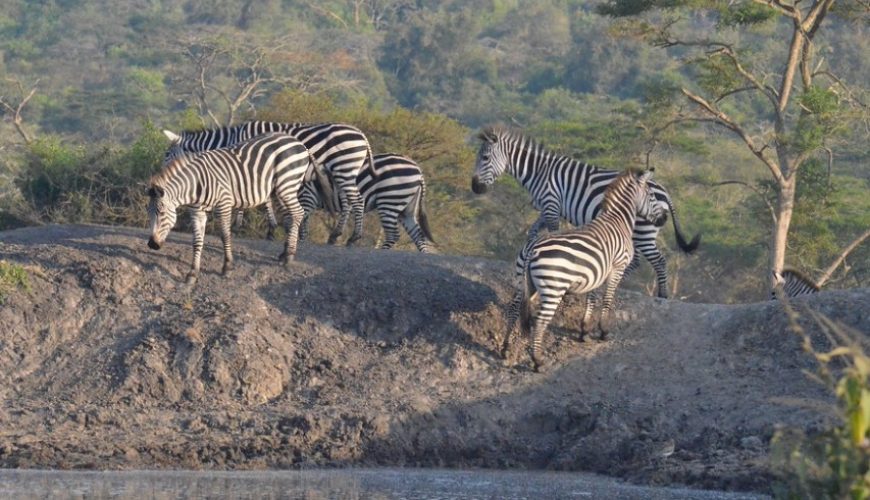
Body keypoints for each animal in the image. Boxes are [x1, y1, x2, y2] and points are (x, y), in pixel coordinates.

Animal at [148, 132, 332, 286]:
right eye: (149, 215)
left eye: (162, 213)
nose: (151, 244)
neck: (196, 184)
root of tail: (300, 143)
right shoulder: (197, 212)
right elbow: (197, 241)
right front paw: (193, 273)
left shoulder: (223, 204)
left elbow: (225, 235)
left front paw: (227, 267)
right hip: (279, 190)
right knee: (290, 217)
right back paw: (284, 253)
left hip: (287, 185)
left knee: (298, 213)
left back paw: (289, 256)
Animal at [164, 120, 374, 247]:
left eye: (167, 155)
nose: (162, 176)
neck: (233, 139)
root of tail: (361, 134)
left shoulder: (251, 165)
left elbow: (258, 198)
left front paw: (257, 227)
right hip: (342, 172)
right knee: (348, 202)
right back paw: (335, 235)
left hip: (344, 168)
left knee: (358, 200)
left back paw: (354, 237)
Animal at [298, 152, 436, 254]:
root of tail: (418, 171)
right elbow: (303, 223)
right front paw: (302, 240)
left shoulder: (308, 196)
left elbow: (301, 221)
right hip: (406, 208)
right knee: (418, 236)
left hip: (389, 200)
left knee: (394, 235)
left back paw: (380, 252)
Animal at [470, 125, 700, 298]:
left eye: (485, 158)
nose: (475, 188)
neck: (539, 172)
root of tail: (664, 191)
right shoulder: (547, 208)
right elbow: (532, 233)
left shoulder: (551, 204)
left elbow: (551, 234)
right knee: (636, 261)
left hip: (644, 231)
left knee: (658, 261)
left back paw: (662, 295)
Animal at [504, 168, 668, 372]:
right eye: (652, 196)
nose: (664, 219)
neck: (618, 219)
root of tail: (532, 248)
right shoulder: (617, 267)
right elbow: (607, 299)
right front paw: (603, 331)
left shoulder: (597, 271)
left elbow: (592, 298)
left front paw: (584, 331)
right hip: (553, 288)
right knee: (540, 321)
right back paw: (537, 361)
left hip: (525, 283)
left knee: (514, 308)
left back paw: (505, 349)